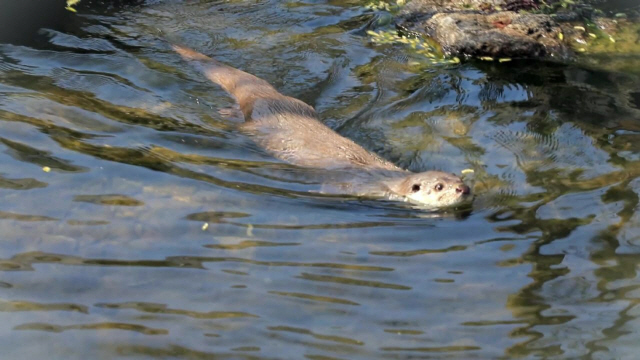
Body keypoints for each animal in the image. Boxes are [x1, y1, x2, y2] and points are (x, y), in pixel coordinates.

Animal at [171, 44, 470, 208]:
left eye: (460, 178)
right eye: (439, 187)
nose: (463, 189)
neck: (384, 179)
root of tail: (266, 96)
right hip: (252, 121)